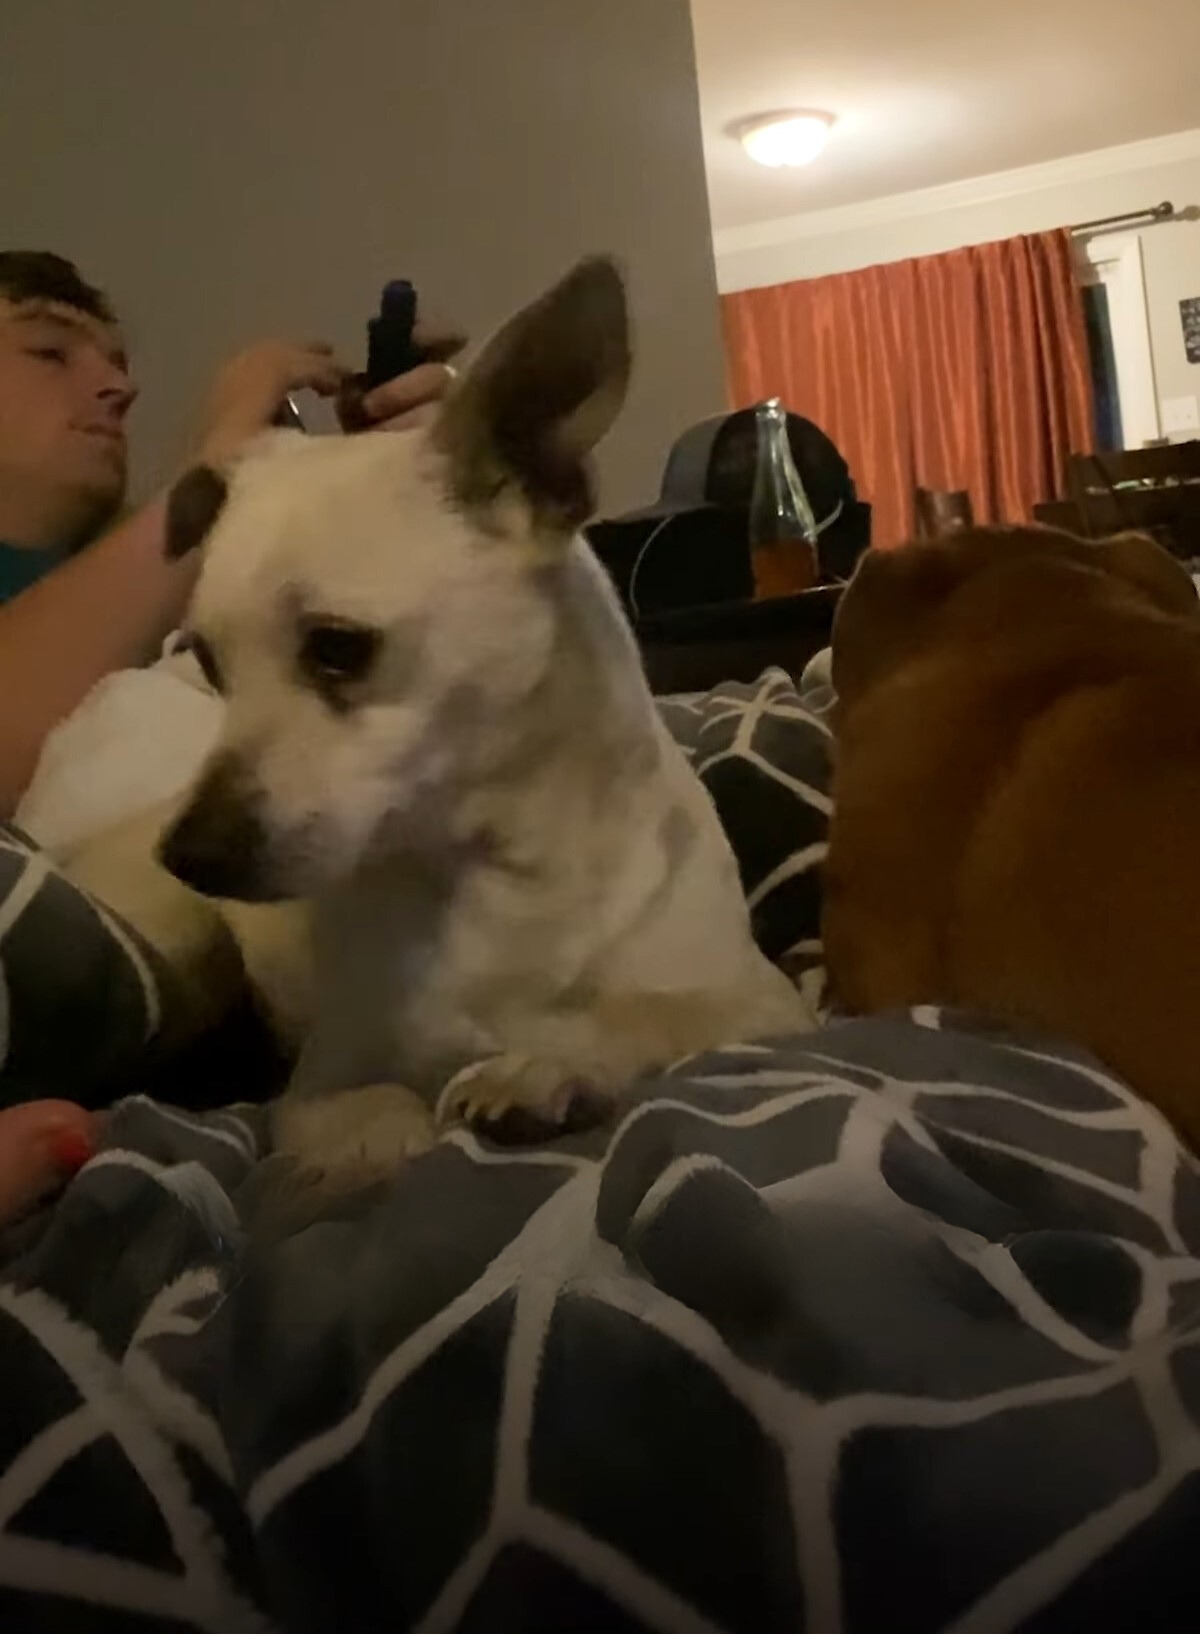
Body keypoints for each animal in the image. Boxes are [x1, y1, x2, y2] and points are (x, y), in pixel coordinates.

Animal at [84, 258, 814, 1189]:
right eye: (208, 665)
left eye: (337, 649)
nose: (187, 855)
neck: (486, 875)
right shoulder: (325, 1071)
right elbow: (345, 1104)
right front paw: (372, 1136)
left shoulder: (768, 1005)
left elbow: (648, 1018)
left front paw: (546, 1063)